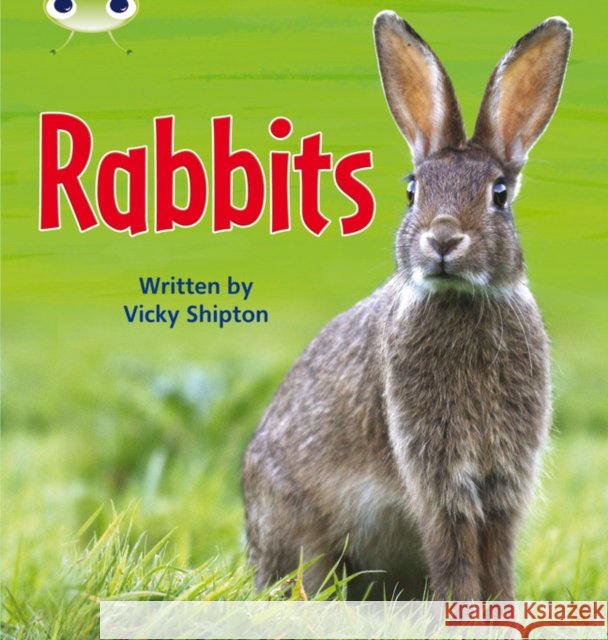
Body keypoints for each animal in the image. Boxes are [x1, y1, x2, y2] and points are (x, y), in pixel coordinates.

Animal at [243, 10, 571, 601]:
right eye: (413, 190)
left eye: (499, 193)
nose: (442, 240)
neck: (461, 300)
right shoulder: (437, 475)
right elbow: (454, 550)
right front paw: (462, 608)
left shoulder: (502, 480)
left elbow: (497, 553)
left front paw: (501, 606)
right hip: (302, 532)